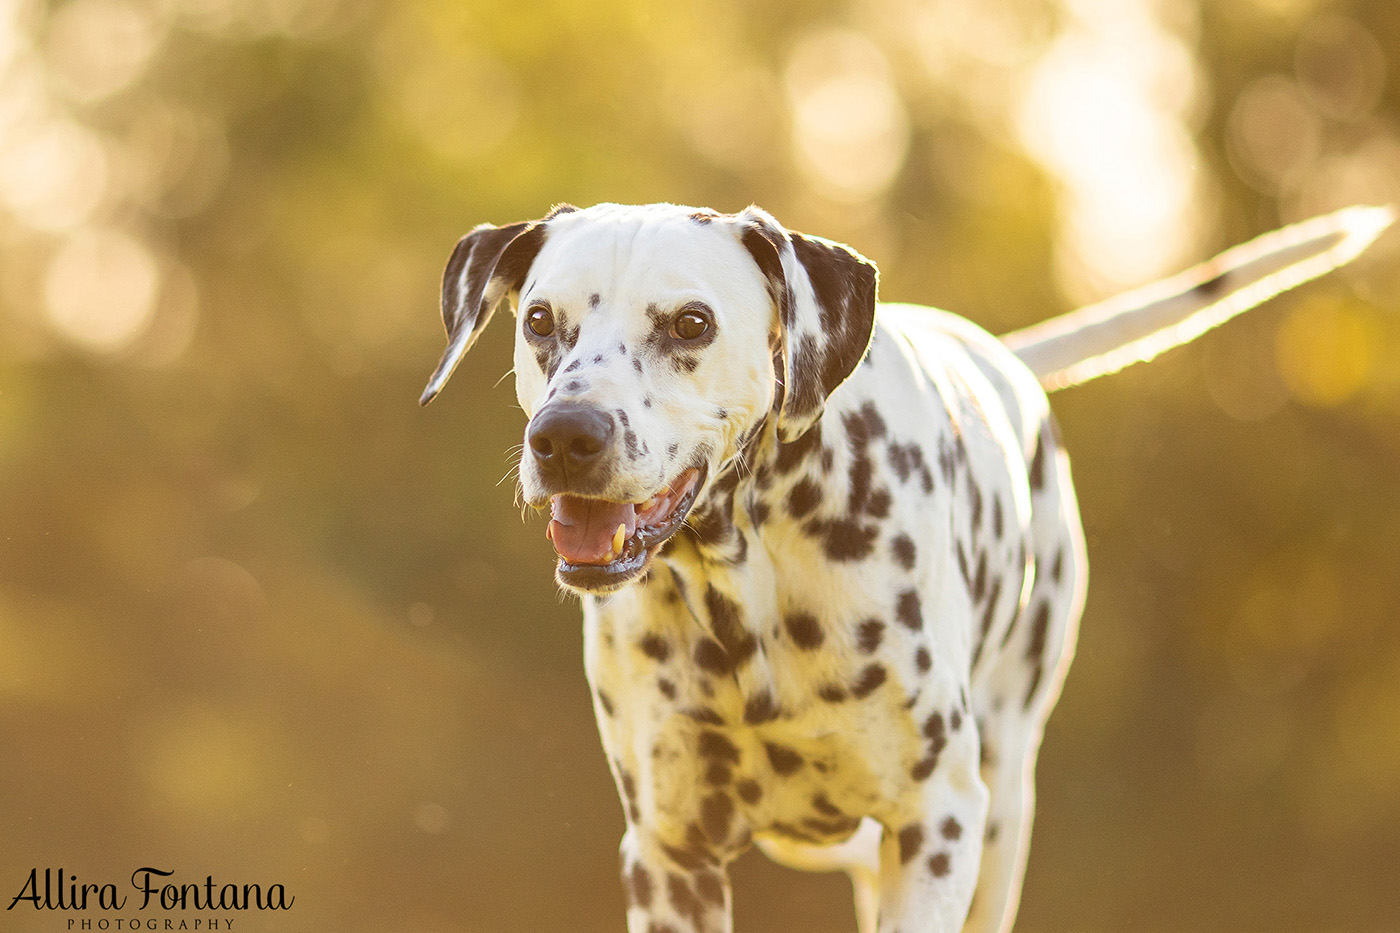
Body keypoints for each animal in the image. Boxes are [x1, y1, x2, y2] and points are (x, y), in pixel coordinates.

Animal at [414, 201, 1388, 930]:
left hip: (1001, 808)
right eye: (541, 320)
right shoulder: (669, 850)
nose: (565, 437)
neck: (749, 588)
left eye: (691, 323)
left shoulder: (936, 825)